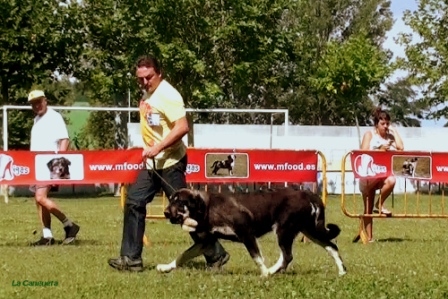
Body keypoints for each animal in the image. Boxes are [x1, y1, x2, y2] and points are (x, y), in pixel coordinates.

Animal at [158, 189, 346, 278]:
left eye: (179, 202)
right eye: (170, 199)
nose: (165, 213)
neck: (208, 208)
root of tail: (307, 193)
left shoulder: (246, 234)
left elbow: (257, 258)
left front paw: (264, 273)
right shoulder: (206, 242)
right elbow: (182, 256)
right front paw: (166, 267)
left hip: (284, 230)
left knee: (287, 256)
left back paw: (270, 272)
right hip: (309, 230)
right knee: (331, 246)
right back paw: (342, 271)